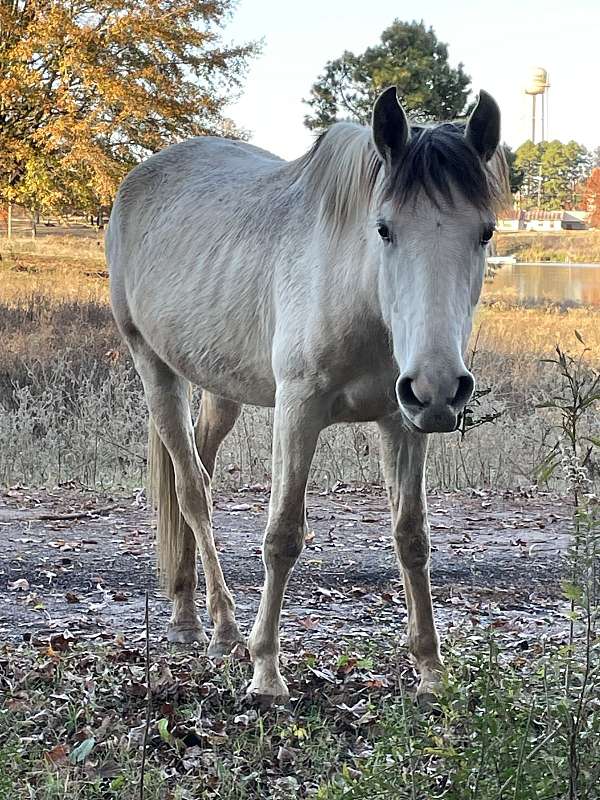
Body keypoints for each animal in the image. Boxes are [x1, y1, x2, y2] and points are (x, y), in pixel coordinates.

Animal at [106, 86, 506, 700]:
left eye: (484, 231)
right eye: (384, 228)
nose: (440, 387)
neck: (358, 294)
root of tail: (139, 178)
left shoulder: (403, 421)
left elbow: (411, 536)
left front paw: (431, 671)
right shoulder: (297, 412)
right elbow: (283, 535)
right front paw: (266, 672)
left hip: (219, 387)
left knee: (197, 471)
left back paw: (191, 613)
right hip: (154, 367)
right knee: (192, 490)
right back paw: (220, 628)